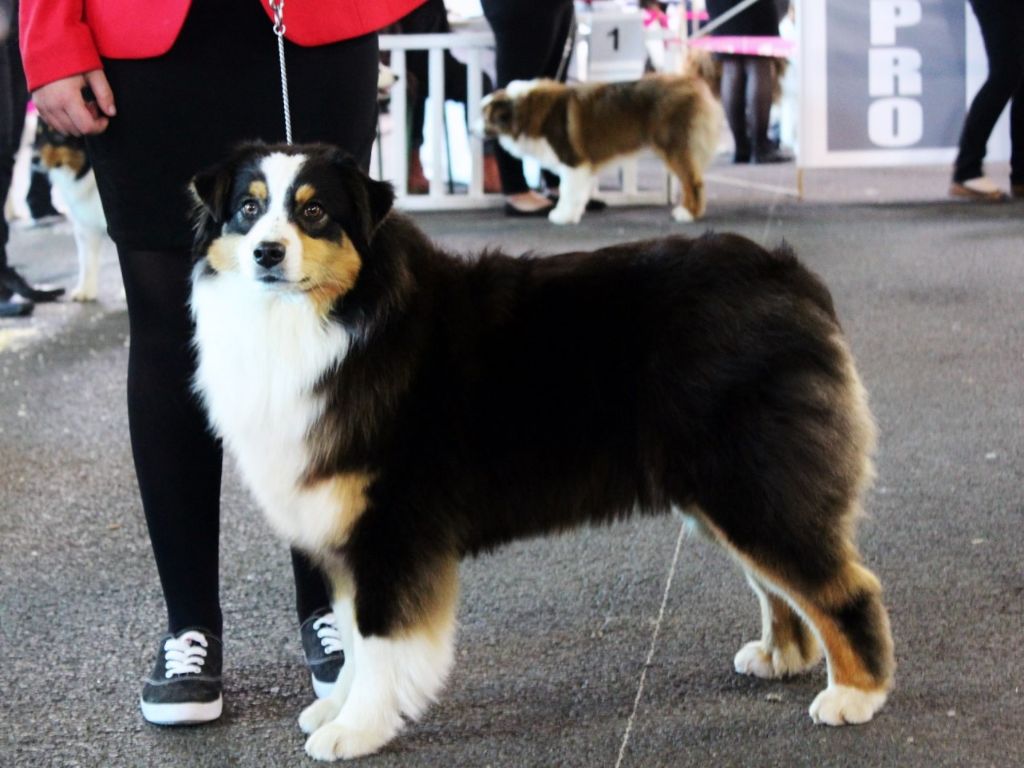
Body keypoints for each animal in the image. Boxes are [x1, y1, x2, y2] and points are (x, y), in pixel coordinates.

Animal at [188, 144, 892, 765]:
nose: (267, 252)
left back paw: (856, 695)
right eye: (248, 209)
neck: (335, 320)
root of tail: (785, 271)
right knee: (781, 584)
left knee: (841, 586)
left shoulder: (390, 528)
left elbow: (379, 640)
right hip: (723, 489)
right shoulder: (340, 530)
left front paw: (356, 729)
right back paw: (781, 657)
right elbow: (352, 637)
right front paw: (337, 708)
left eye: (313, 212)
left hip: (749, 481)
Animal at [479, 74, 720, 224]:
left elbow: (567, 191)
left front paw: (561, 216)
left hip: (672, 145)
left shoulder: (572, 160)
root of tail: (691, 84)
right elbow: (577, 192)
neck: (523, 110)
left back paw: (688, 214)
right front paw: (573, 214)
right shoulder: (580, 166)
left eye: (486, 117)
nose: (472, 130)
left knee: (693, 181)